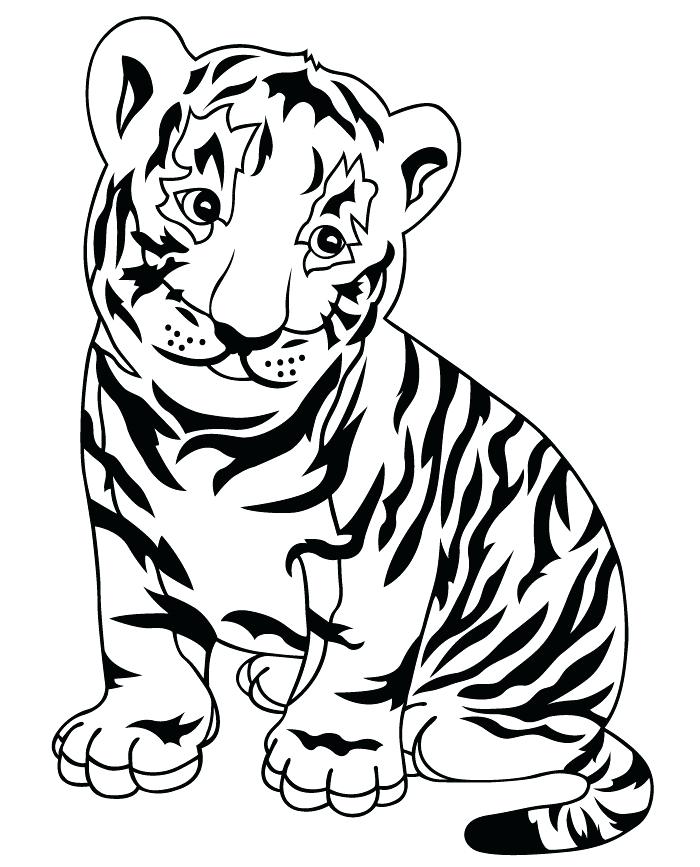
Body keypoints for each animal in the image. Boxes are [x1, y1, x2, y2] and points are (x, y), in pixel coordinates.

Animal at [52, 16, 653, 855]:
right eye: (201, 205)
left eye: (328, 241)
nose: (244, 331)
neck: (205, 433)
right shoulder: (125, 523)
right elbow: (138, 626)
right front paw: (140, 731)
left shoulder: (382, 547)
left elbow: (362, 653)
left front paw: (329, 755)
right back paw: (278, 677)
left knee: (547, 733)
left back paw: (422, 725)